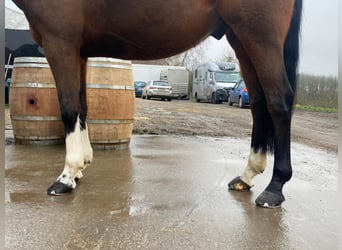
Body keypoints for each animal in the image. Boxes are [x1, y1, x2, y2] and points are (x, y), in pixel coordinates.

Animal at [12, 0, 302, 208]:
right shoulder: (79, 51)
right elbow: (82, 107)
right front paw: (80, 168)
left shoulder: (60, 43)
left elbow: (68, 107)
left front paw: (66, 177)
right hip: (240, 38)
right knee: (259, 103)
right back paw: (246, 176)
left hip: (260, 36)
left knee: (278, 101)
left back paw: (274, 189)